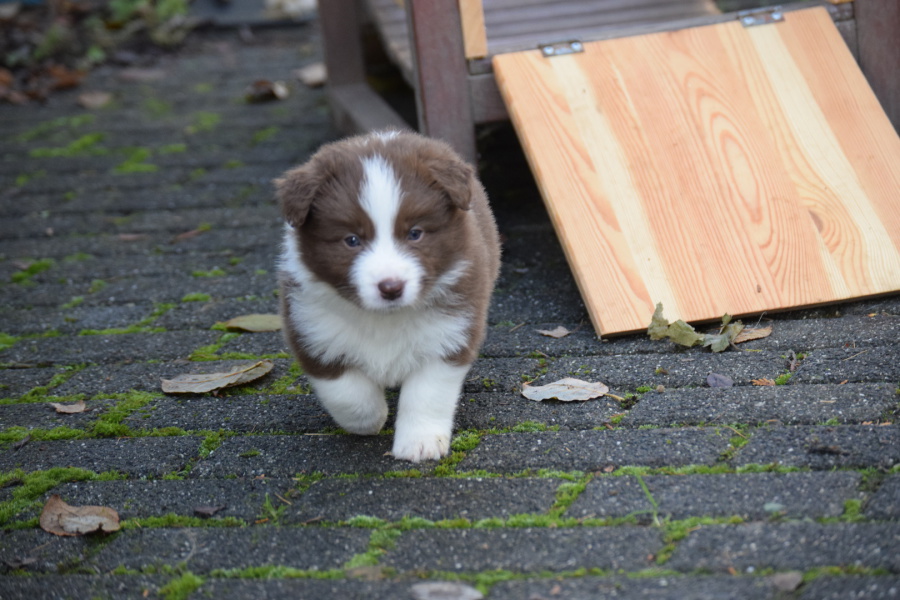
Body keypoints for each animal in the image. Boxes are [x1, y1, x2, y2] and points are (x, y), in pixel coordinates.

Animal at [276, 131, 501, 462]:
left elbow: (427, 394)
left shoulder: (449, 332)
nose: (391, 287)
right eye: (351, 240)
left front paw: (419, 443)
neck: (384, 318)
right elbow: (349, 394)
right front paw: (371, 420)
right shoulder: (313, 332)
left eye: (415, 233)